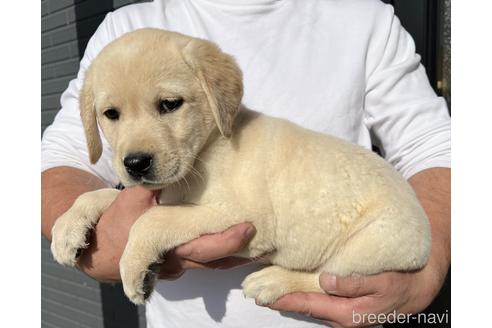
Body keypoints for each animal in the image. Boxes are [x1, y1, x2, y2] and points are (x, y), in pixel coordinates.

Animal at [49, 28, 430, 304]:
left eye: (170, 104)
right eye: (111, 114)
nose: (135, 164)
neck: (206, 151)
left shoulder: (240, 214)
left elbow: (150, 219)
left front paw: (134, 268)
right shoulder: (160, 191)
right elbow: (99, 196)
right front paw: (67, 230)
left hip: (367, 247)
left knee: (327, 278)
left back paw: (272, 280)